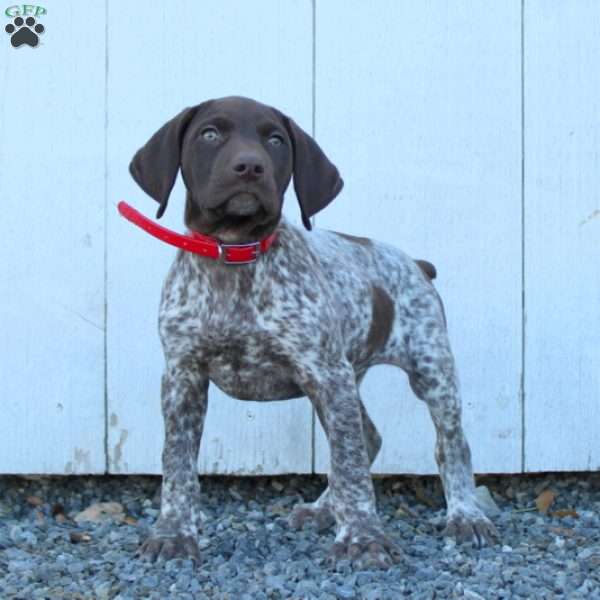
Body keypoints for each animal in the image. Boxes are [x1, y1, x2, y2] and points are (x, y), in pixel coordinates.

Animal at [126, 96, 496, 568]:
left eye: (275, 140)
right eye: (209, 134)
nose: (249, 167)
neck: (235, 255)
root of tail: (415, 263)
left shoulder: (326, 374)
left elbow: (352, 464)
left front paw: (363, 538)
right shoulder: (182, 376)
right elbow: (176, 463)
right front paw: (173, 533)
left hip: (429, 370)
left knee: (448, 444)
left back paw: (465, 516)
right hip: (348, 379)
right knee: (368, 437)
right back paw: (323, 509)